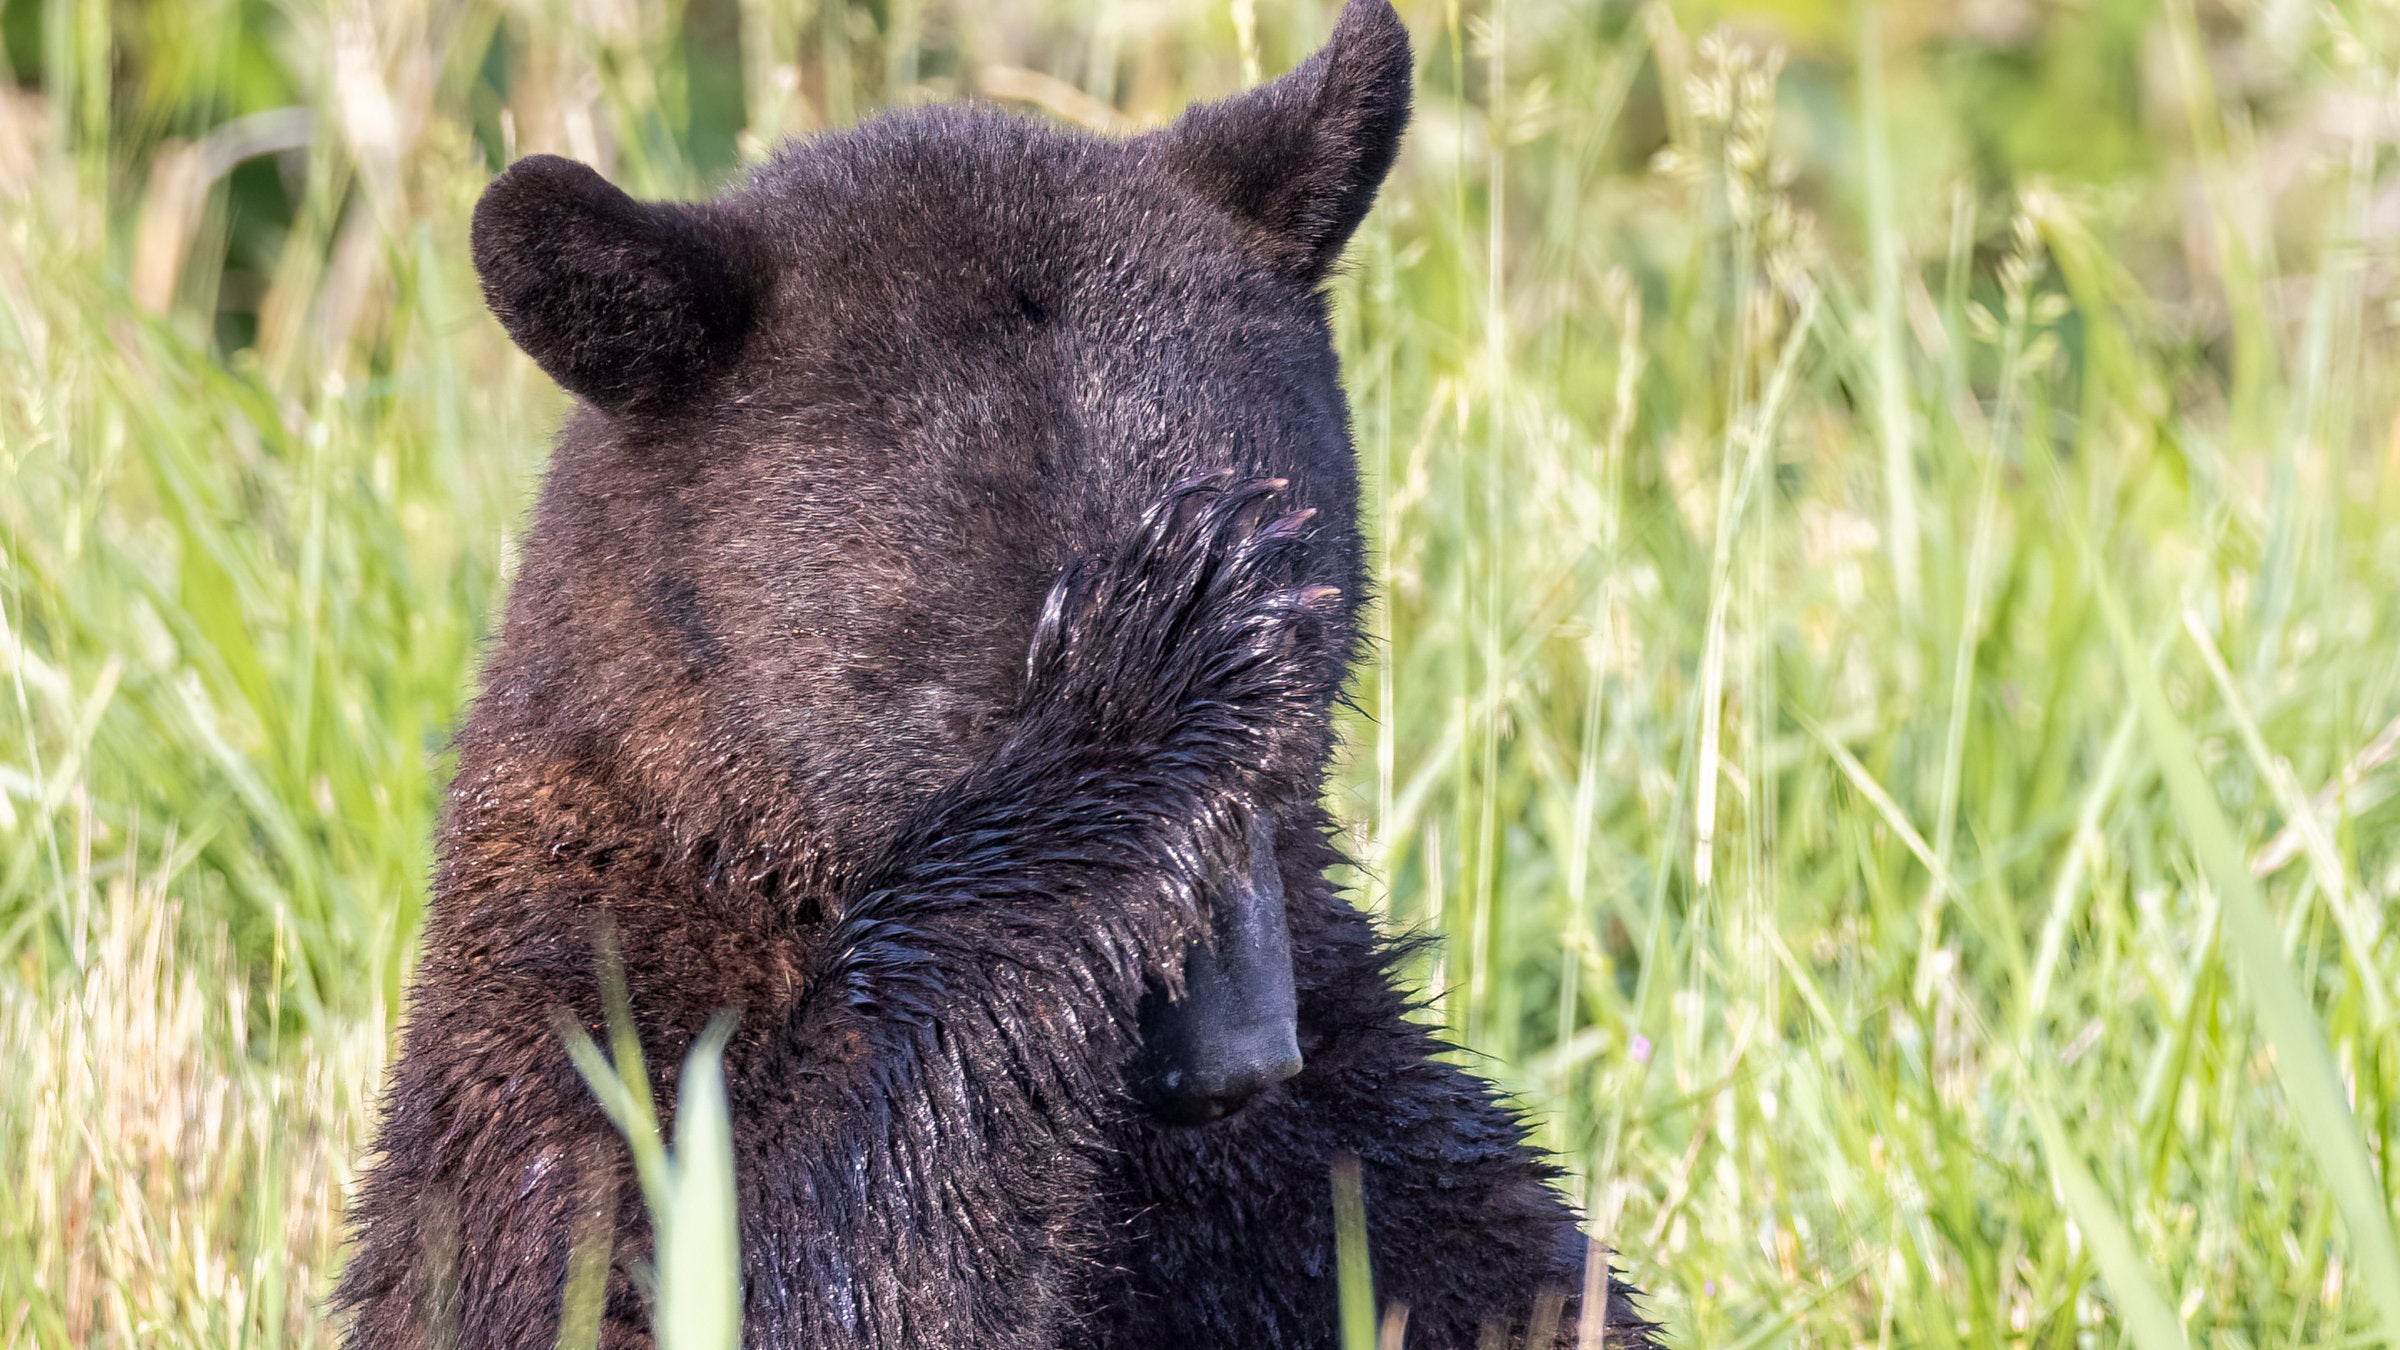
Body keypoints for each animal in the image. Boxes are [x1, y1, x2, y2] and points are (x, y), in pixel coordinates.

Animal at [334, 3, 1662, 1347]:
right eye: (989, 708)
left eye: (1303, 694)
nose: (1237, 1059)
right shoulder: (566, 1053)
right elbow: (752, 1260)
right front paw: (1147, 677)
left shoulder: (1337, 1133)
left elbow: (1488, 1258)